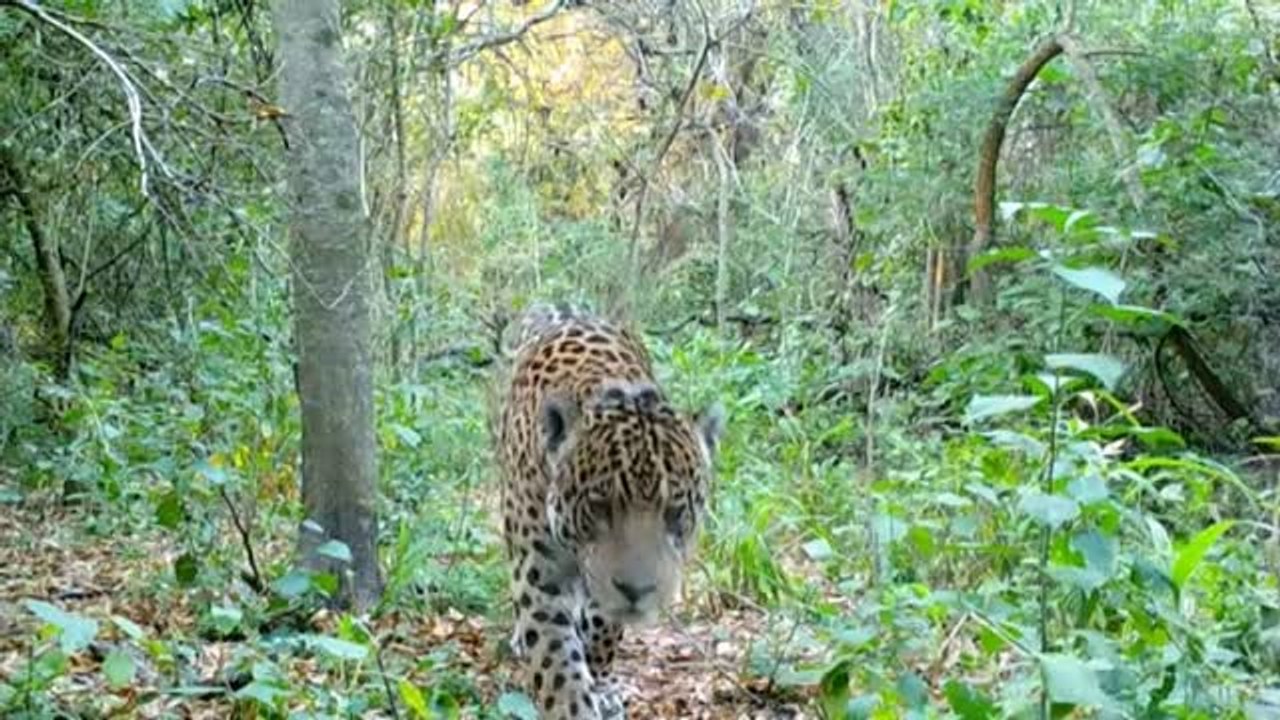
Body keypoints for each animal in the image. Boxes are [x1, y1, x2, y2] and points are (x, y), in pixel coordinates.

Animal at [492, 303, 724, 719]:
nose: (638, 591)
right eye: (599, 507)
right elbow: (556, 664)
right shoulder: (540, 574)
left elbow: (602, 629)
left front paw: (602, 682)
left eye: (675, 511)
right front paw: (574, 704)